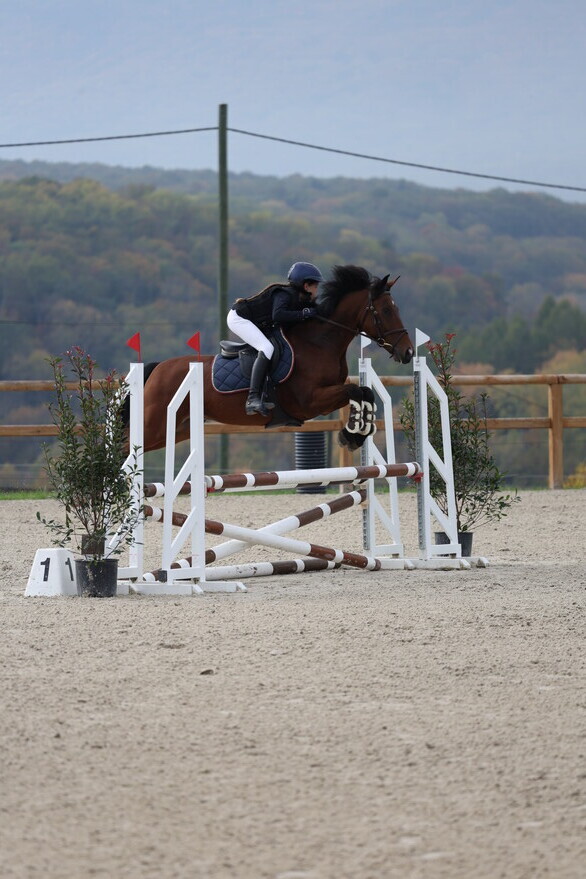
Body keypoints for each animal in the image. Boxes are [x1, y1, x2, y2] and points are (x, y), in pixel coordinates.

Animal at [133, 264, 414, 454]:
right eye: (386, 310)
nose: (408, 352)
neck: (319, 343)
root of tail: (158, 368)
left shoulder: (325, 399)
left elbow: (365, 392)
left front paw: (357, 434)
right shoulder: (310, 400)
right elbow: (355, 390)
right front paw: (351, 434)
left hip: (177, 429)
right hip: (155, 425)